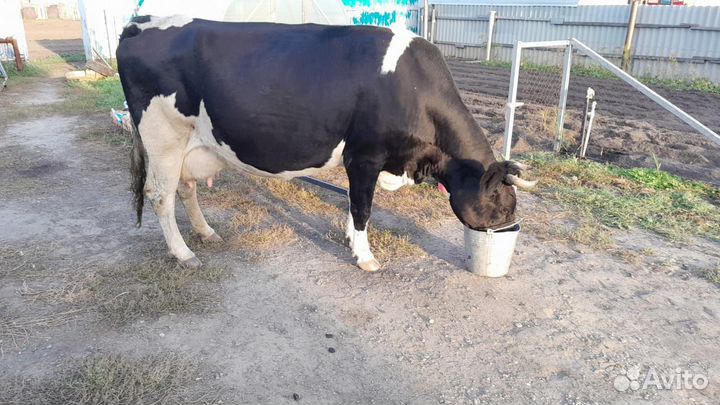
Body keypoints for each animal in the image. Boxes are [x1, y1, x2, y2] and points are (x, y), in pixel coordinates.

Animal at [116, 15, 536, 272]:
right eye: (502, 204)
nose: (508, 227)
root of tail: (141, 22)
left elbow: (353, 205)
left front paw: (351, 240)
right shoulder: (365, 155)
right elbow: (363, 207)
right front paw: (365, 257)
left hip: (192, 144)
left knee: (186, 188)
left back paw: (205, 233)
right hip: (163, 138)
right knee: (160, 196)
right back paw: (184, 253)